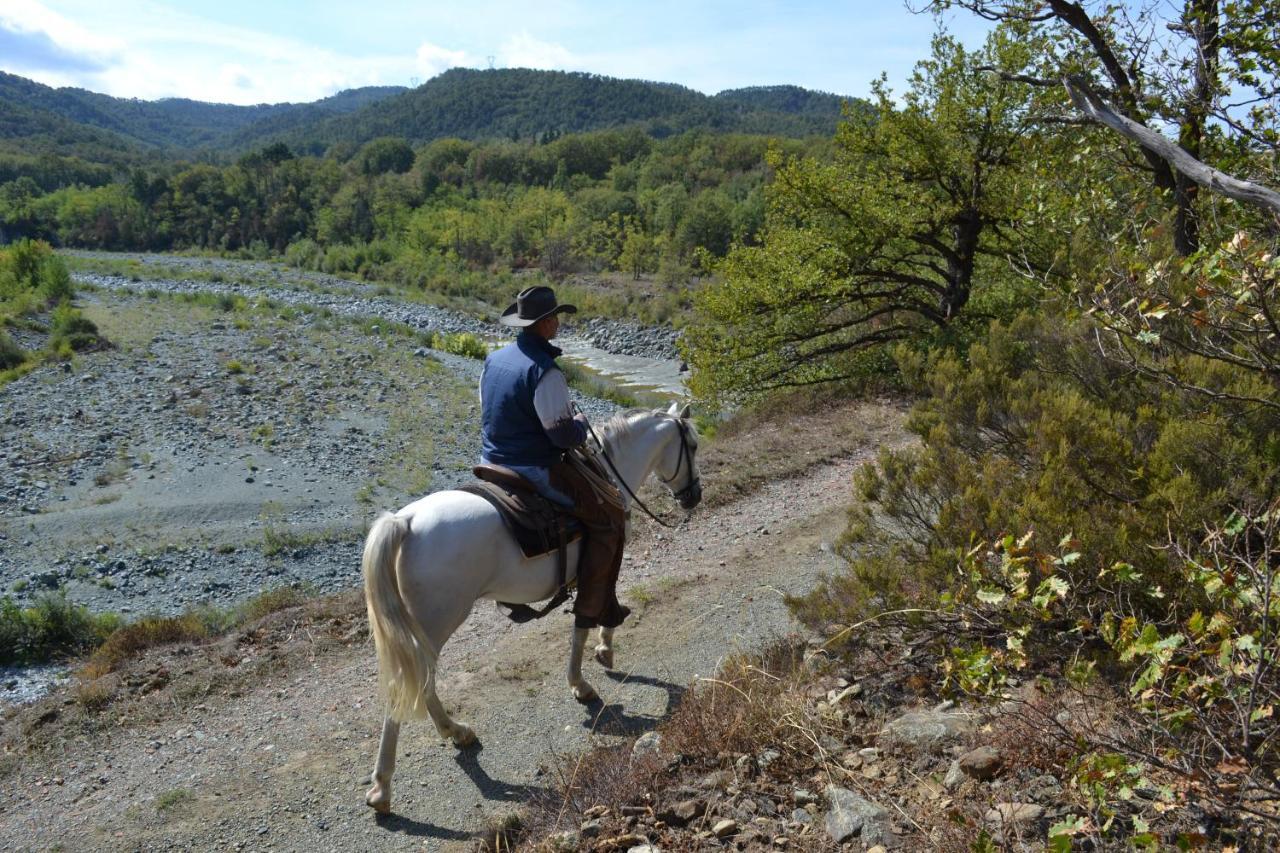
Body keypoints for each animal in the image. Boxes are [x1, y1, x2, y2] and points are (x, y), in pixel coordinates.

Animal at [358, 399, 701, 809]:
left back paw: (452, 733)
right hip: (435, 623)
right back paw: (385, 784)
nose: (694, 496)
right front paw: (591, 668)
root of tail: (405, 520)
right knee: (412, 684)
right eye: (693, 446)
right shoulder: (605, 557)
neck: (606, 475)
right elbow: (592, 616)